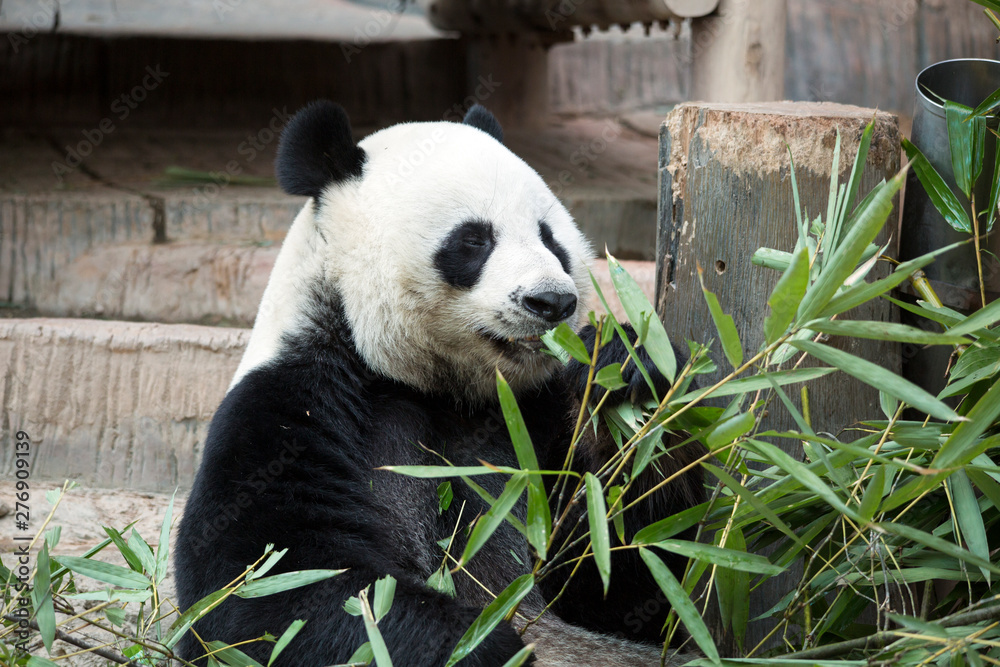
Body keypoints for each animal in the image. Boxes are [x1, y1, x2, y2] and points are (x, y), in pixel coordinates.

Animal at [174, 101, 707, 667]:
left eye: (550, 238)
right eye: (473, 240)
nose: (551, 302)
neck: (436, 383)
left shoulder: (534, 415)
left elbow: (631, 575)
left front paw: (628, 371)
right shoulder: (289, 407)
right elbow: (263, 591)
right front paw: (482, 644)